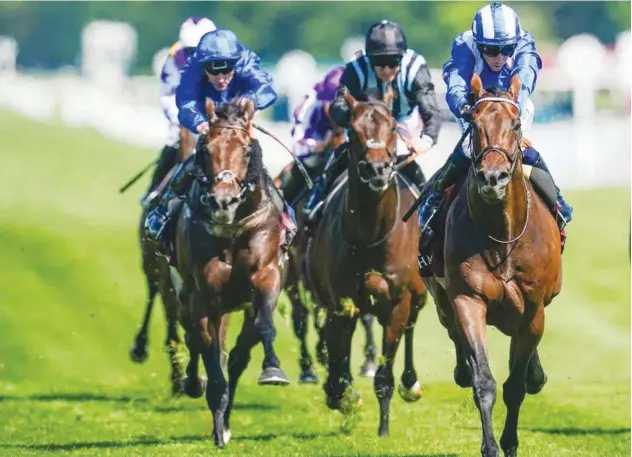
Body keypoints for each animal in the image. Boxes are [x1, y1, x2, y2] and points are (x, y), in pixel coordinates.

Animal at [170, 97, 288, 446]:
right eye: (205, 148)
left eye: (247, 150)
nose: (223, 201)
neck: (232, 229)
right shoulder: (202, 297)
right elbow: (209, 350)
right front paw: (218, 422)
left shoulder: (266, 275)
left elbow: (263, 326)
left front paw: (273, 370)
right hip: (184, 298)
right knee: (197, 340)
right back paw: (198, 390)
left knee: (235, 356)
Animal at [308, 87, 428, 436]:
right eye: (354, 130)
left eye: (392, 127)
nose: (377, 170)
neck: (371, 234)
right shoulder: (341, 300)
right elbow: (337, 351)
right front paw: (341, 394)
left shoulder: (397, 302)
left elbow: (385, 373)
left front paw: (383, 429)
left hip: (418, 292)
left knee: (413, 320)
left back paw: (410, 384)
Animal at [422, 73, 560, 454]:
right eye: (474, 124)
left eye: (515, 125)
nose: (492, 178)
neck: (503, 237)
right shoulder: (468, 300)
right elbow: (484, 380)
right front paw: (491, 445)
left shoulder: (532, 310)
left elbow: (516, 385)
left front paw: (510, 442)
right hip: (441, 298)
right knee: (455, 336)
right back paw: (463, 368)